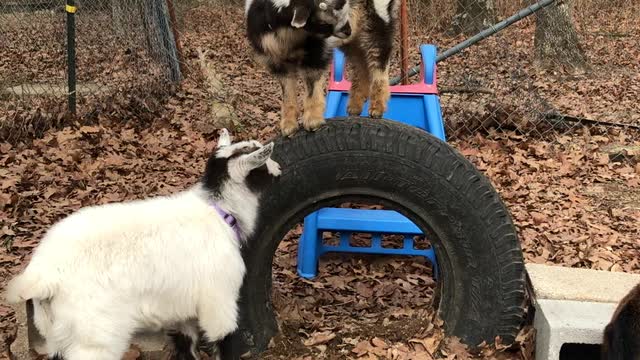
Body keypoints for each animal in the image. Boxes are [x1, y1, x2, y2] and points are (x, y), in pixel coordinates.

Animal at [4, 129, 280, 360]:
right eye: (261, 160)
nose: (279, 170)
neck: (220, 212)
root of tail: (42, 275)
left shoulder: (180, 308)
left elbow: (186, 345)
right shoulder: (219, 298)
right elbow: (223, 339)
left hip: (54, 331)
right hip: (94, 333)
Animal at [246, 0, 400, 136]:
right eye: (323, 21)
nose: (347, 30)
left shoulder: (315, 52)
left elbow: (312, 85)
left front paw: (312, 122)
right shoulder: (276, 60)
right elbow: (287, 92)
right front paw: (288, 127)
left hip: (378, 17)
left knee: (379, 59)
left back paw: (377, 109)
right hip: (352, 39)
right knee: (361, 65)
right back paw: (354, 108)